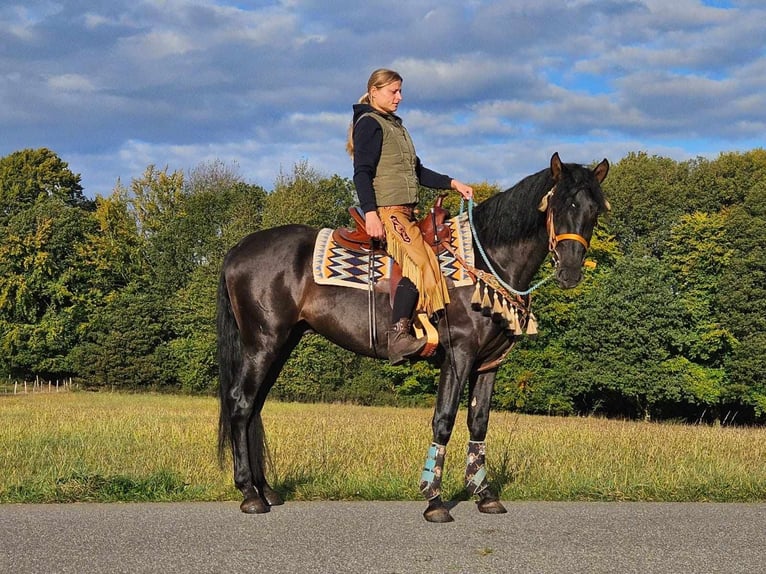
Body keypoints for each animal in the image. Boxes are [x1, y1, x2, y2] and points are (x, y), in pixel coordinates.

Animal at [218, 154, 612, 528]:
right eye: (558, 205)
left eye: (593, 210)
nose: (570, 272)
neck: (485, 261)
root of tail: (239, 248)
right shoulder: (459, 355)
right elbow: (444, 420)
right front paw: (434, 499)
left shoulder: (488, 363)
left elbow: (479, 422)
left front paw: (484, 495)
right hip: (263, 342)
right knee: (241, 404)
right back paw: (249, 494)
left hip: (282, 343)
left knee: (255, 408)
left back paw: (266, 490)